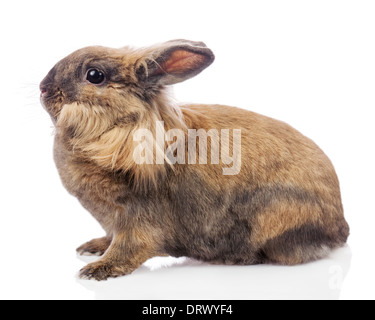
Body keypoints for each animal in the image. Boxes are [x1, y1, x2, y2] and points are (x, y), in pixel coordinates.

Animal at [39, 39, 352, 280]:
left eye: (95, 75)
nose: (43, 88)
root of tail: (340, 225)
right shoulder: (111, 221)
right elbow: (110, 238)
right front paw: (91, 248)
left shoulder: (137, 220)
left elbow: (128, 248)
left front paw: (97, 270)